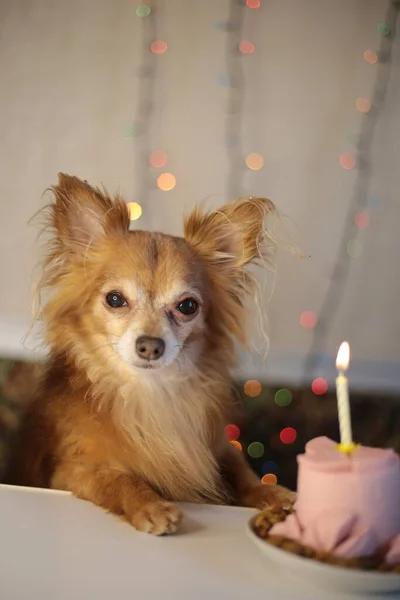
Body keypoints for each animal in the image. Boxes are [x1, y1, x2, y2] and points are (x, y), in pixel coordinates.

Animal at [6, 173, 294, 536]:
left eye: (188, 306)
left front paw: (277, 493)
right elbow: (117, 479)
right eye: (115, 299)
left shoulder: (218, 448)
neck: (150, 393)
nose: (150, 345)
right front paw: (151, 505)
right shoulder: (70, 471)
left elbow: (243, 472)